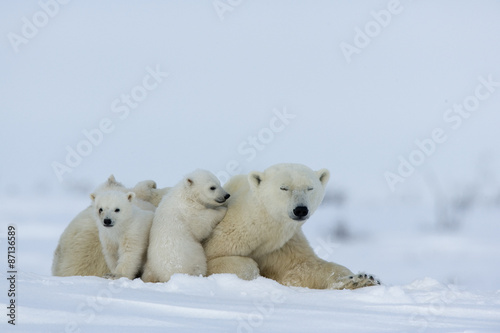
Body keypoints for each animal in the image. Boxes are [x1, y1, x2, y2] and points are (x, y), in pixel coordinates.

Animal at [203, 163, 378, 288]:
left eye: (310, 188)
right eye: (284, 188)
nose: (300, 209)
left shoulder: (283, 243)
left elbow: (302, 267)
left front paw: (360, 279)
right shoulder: (226, 235)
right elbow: (214, 262)